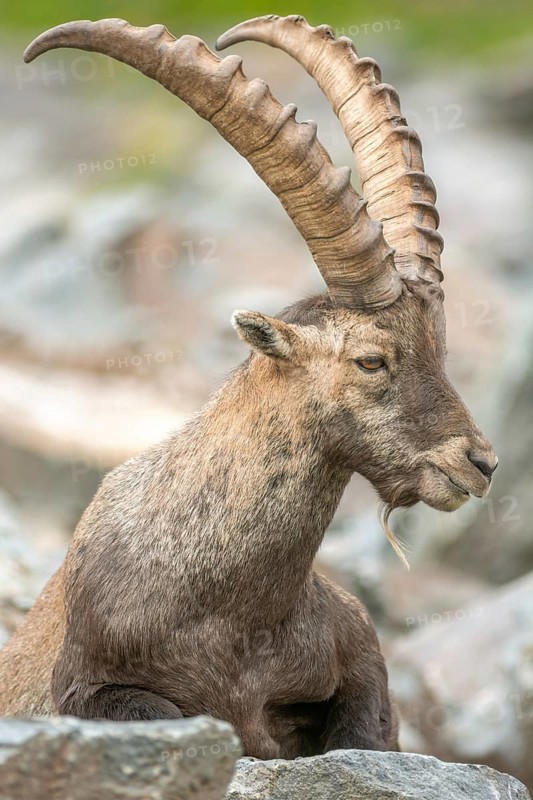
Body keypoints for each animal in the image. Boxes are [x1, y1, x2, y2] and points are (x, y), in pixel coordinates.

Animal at [0, 16, 497, 758]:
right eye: (371, 361)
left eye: (440, 347)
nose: (479, 462)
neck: (231, 610)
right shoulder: (88, 685)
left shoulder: (356, 651)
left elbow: (364, 726)